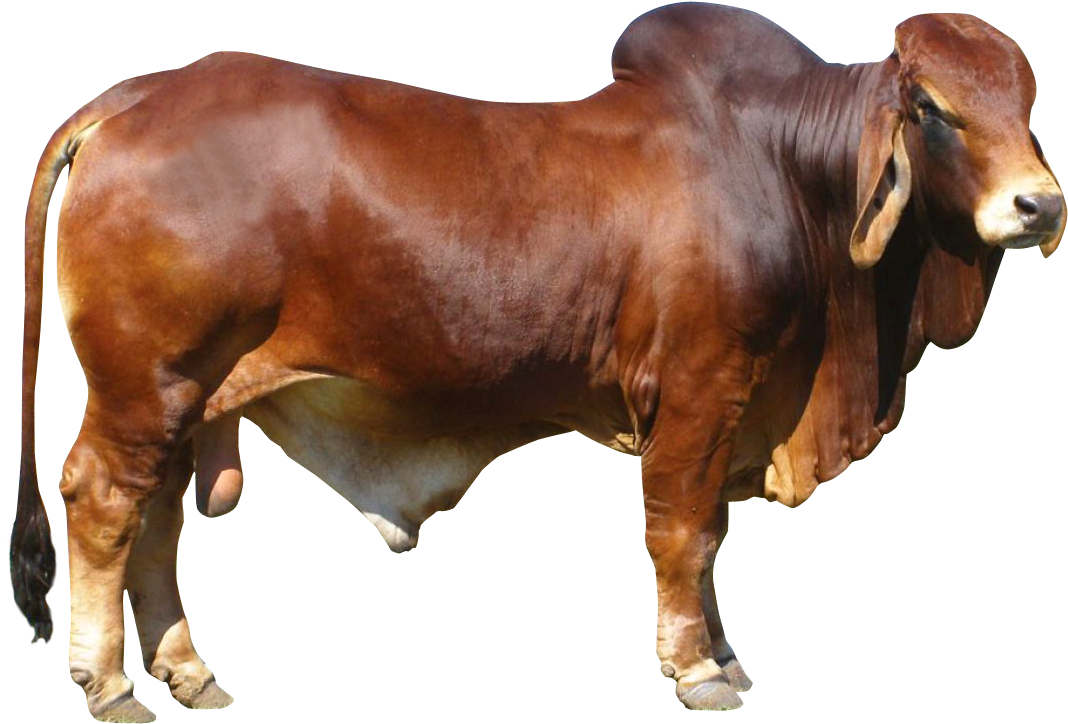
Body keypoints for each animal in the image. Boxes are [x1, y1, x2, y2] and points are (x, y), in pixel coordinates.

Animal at [13, 3, 1062, 718]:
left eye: (1027, 101)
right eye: (931, 107)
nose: (1039, 206)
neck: (785, 167)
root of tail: (141, 94)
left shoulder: (732, 410)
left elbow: (713, 535)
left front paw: (724, 654)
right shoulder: (697, 392)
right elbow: (684, 534)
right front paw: (696, 668)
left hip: (182, 398)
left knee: (155, 521)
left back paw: (187, 672)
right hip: (146, 385)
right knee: (103, 503)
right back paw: (109, 683)